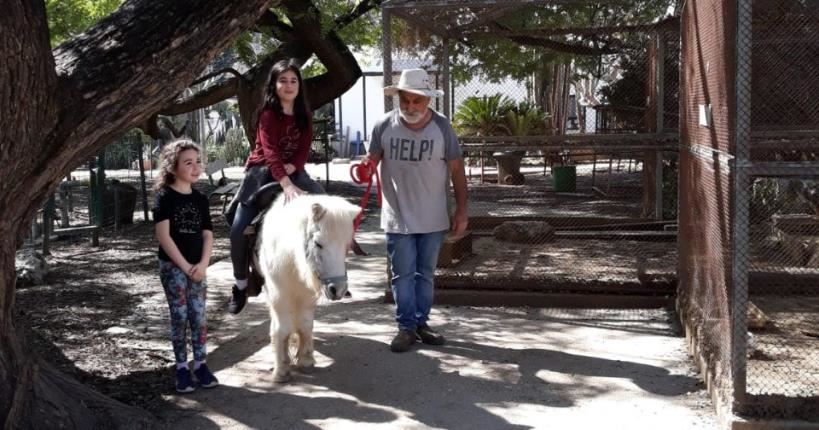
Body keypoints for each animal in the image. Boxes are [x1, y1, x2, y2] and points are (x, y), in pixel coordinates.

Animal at [255, 193, 360, 382]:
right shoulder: (279, 294)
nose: (338, 290)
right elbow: (282, 328)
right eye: (318, 243)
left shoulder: (307, 296)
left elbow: (304, 325)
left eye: (346, 244)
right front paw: (281, 369)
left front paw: (305, 360)